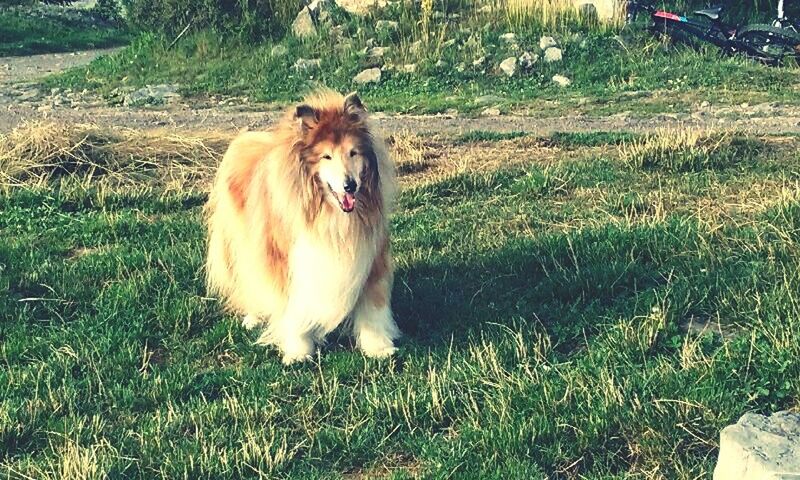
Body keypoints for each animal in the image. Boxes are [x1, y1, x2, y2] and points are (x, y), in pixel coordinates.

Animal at [205, 89, 400, 364]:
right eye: (326, 156)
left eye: (353, 153)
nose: (350, 185)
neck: (330, 215)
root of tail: (247, 139)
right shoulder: (284, 263)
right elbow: (292, 309)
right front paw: (298, 351)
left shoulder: (371, 257)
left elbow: (373, 306)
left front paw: (378, 347)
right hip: (242, 246)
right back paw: (253, 317)